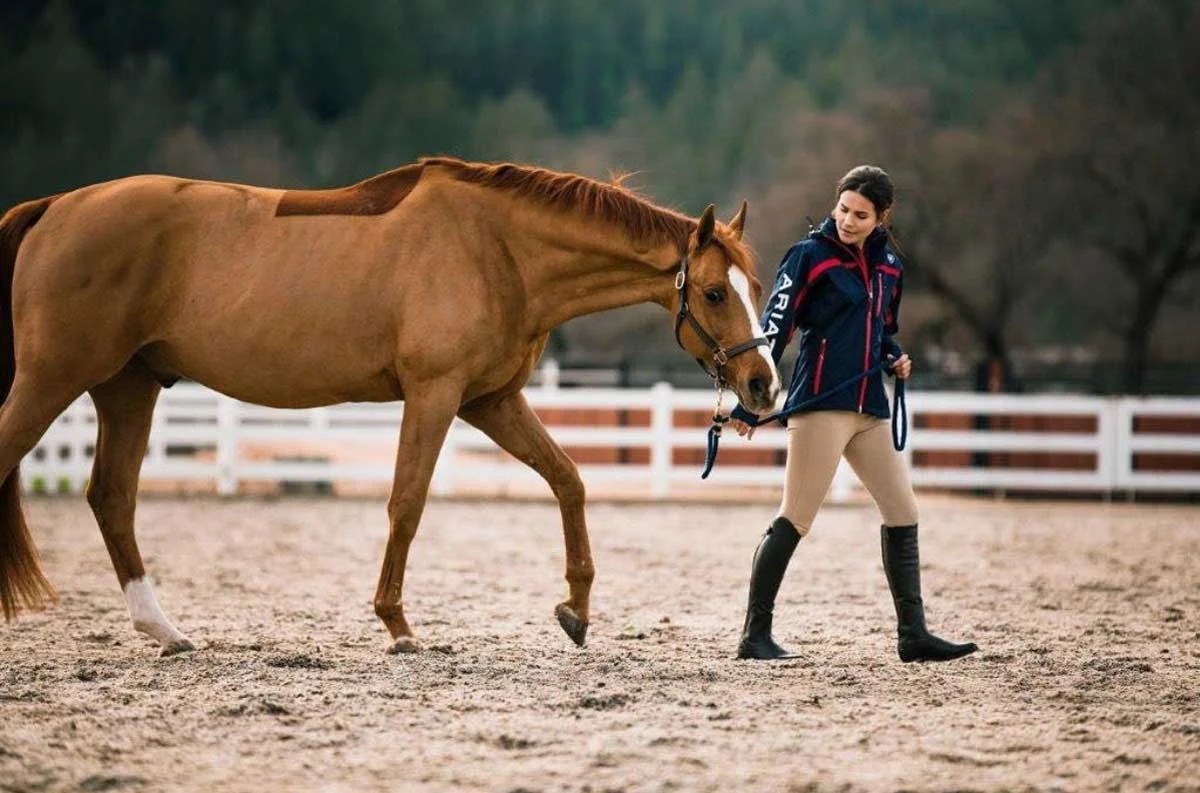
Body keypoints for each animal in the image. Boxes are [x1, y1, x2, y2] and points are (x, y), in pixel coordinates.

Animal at [0, 157, 780, 656]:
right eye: (715, 292)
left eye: (755, 284)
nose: (762, 386)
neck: (498, 248)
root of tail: (54, 208)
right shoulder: (434, 394)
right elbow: (407, 502)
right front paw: (398, 625)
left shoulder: (491, 401)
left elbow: (569, 480)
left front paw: (576, 610)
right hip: (52, 378)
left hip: (126, 388)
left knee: (112, 498)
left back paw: (164, 631)